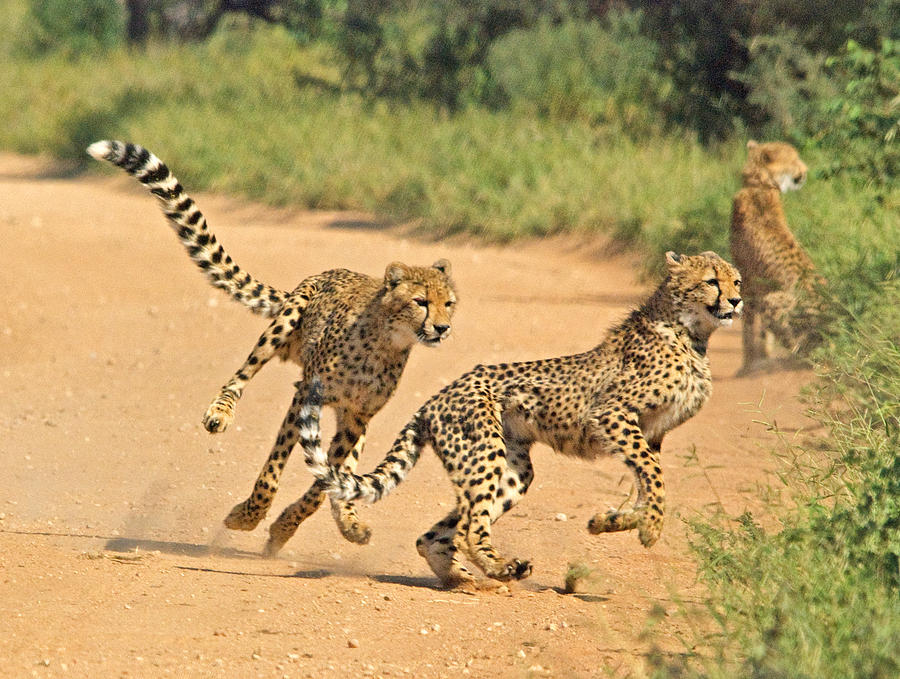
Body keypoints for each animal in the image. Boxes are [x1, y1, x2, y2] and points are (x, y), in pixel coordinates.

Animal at [87, 142, 458, 548]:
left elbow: (326, 481)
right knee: (241, 376)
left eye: (449, 303)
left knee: (347, 475)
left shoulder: (356, 418)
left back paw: (349, 521)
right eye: (420, 302)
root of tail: (323, 272)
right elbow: (274, 468)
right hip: (286, 321)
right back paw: (220, 413)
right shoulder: (305, 397)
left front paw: (286, 526)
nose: (442, 328)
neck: (384, 344)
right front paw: (248, 516)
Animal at [298, 252, 740, 588]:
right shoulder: (613, 415)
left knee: (435, 535)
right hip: (484, 453)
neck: (690, 334)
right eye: (712, 281)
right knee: (468, 528)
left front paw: (610, 521)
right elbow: (655, 481)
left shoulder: (650, 433)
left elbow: (648, 484)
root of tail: (437, 397)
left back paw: (470, 578)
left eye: (736, 280)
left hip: (513, 469)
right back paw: (499, 567)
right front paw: (650, 529)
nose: (737, 301)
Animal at [732, 139, 824, 372]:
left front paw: (748, 365)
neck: (760, 185)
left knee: (804, 348)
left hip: (773, 301)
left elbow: (748, 327)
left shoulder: (748, 281)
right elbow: (761, 331)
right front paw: (761, 356)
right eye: (794, 159)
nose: (805, 171)